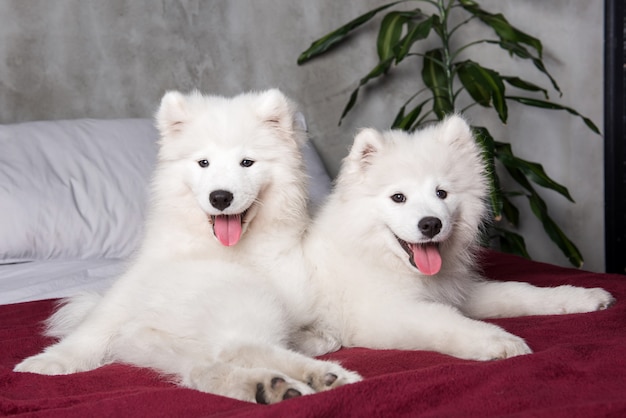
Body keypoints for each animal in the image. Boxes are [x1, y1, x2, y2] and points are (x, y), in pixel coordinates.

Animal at [14, 90, 358, 404]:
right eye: (203, 162)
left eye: (247, 162)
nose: (220, 197)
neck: (213, 248)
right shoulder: (131, 285)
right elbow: (93, 326)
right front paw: (49, 361)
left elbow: (320, 334)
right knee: (216, 362)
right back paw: (274, 386)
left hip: (248, 303)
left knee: (235, 348)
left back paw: (316, 376)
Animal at [304, 115, 616, 362]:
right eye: (398, 197)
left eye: (441, 193)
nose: (431, 224)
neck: (374, 253)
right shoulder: (384, 314)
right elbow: (446, 321)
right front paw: (498, 340)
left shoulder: (460, 293)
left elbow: (519, 291)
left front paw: (581, 296)